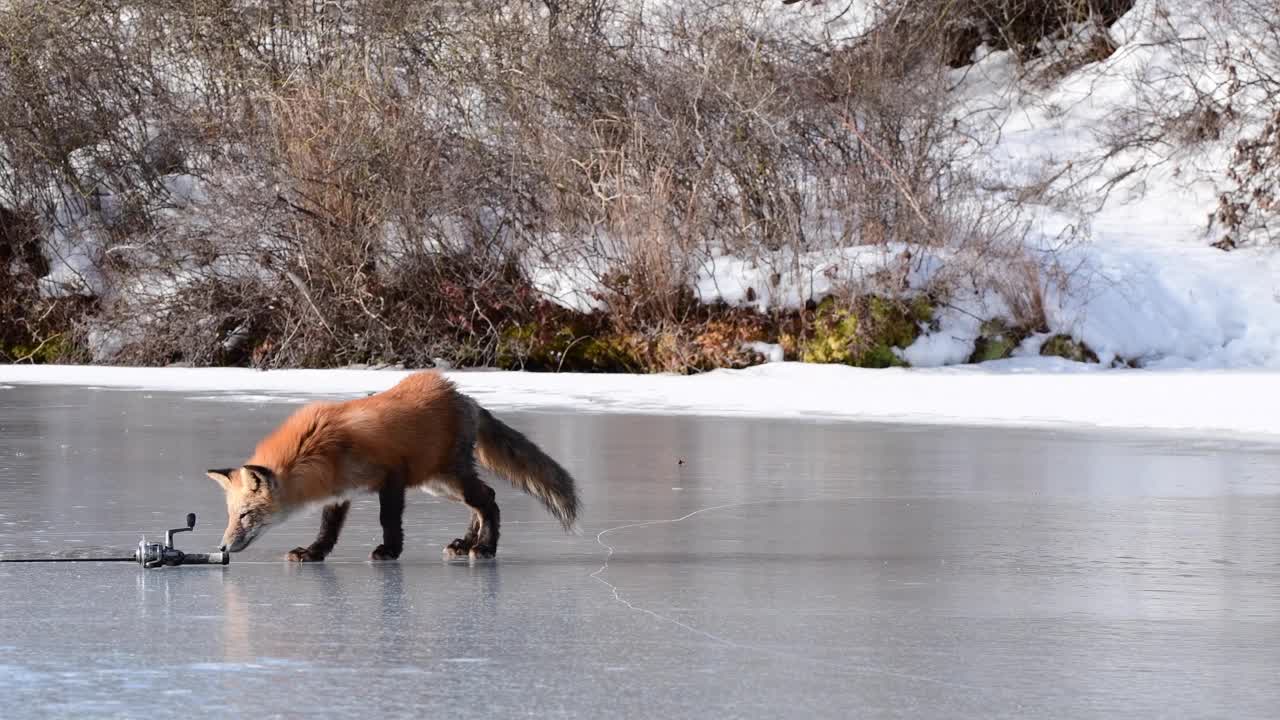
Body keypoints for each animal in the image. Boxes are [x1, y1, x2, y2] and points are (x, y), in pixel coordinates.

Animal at [204, 368, 581, 561]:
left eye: (245, 515)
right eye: (230, 515)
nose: (221, 547)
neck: (317, 450)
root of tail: (464, 397)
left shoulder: (392, 477)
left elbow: (388, 520)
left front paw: (389, 551)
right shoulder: (340, 492)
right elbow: (328, 529)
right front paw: (314, 552)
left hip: (446, 478)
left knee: (488, 501)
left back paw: (485, 547)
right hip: (437, 484)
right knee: (485, 497)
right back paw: (465, 543)